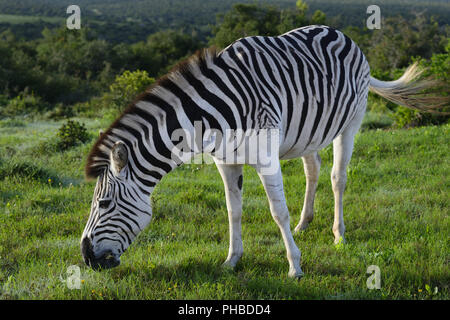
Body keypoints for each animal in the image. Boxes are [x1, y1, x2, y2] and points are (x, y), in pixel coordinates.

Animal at [81, 25, 446, 278]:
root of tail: (340, 33)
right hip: (308, 132)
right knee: (313, 169)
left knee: (337, 178)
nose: (86, 258)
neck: (211, 117)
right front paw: (231, 260)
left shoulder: (266, 157)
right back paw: (304, 223)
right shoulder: (226, 162)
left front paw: (295, 267)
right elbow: (233, 211)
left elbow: (277, 211)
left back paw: (338, 235)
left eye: (104, 203)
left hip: (351, 122)